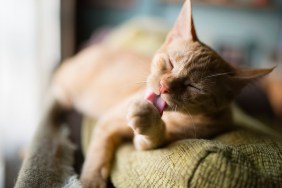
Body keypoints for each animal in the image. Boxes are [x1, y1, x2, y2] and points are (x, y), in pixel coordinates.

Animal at [51, 0, 274, 187]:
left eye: (194, 86)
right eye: (170, 63)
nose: (164, 86)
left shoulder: (150, 142)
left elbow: (152, 137)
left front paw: (149, 118)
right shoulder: (108, 121)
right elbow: (97, 154)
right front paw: (91, 180)